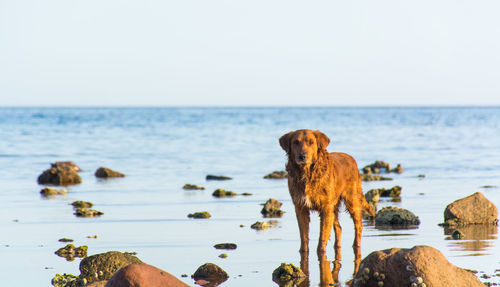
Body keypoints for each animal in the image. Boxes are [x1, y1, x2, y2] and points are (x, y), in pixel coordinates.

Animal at [280, 129, 374, 274]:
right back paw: (338, 247)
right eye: (295, 142)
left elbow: (322, 236)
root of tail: (351, 158)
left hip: (351, 199)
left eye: (311, 142)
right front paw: (303, 252)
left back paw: (356, 245)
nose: (302, 156)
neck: (307, 174)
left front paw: (321, 254)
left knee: (358, 224)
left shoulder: (325, 207)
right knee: (339, 227)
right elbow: (304, 236)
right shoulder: (300, 207)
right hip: (333, 206)